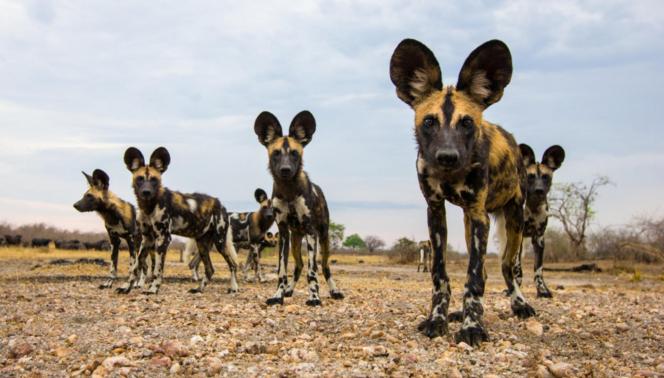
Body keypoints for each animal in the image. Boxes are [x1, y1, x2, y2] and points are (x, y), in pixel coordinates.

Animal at [118, 146, 240, 294]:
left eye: (154, 180)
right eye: (140, 179)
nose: (146, 192)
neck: (149, 206)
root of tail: (221, 205)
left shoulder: (163, 238)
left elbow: (157, 270)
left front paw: (153, 289)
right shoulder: (147, 239)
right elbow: (136, 266)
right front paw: (126, 287)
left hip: (220, 243)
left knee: (233, 265)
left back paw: (233, 288)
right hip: (202, 245)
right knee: (210, 269)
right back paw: (198, 289)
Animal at [254, 110, 344, 306]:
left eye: (295, 153)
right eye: (276, 153)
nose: (286, 169)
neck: (289, 191)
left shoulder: (311, 231)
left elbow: (312, 271)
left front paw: (314, 298)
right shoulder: (283, 234)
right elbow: (282, 270)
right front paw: (278, 295)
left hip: (323, 238)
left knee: (324, 266)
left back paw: (334, 291)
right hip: (295, 240)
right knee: (299, 265)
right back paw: (289, 290)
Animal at [392, 39, 536, 346]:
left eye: (467, 123)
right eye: (429, 122)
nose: (447, 156)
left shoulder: (480, 215)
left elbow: (474, 279)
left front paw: (473, 327)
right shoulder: (436, 212)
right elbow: (440, 275)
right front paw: (439, 319)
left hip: (513, 220)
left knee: (507, 268)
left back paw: (520, 304)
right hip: (471, 225)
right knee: (484, 269)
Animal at [512, 145, 564, 298]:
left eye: (546, 177)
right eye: (530, 177)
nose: (539, 190)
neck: (533, 207)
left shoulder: (539, 238)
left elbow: (538, 269)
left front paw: (542, 290)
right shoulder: (519, 237)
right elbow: (517, 268)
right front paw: (515, 289)